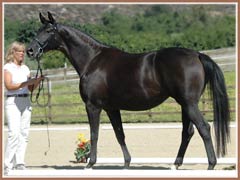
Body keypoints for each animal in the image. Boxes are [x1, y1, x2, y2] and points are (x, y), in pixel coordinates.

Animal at [26, 11, 231, 169]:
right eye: (38, 30)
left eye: (49, 30)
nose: (30, 50)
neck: (92, 60)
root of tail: (196, 55)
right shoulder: (111, 108)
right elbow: (119, 134)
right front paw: (126, 163)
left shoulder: (93, 106)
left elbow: (94, 134)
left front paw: (90, 163)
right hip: (185, 105)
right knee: (187, 132)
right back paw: (176, 164)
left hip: (189, 104)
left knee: (204, 128)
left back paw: (211, 164)